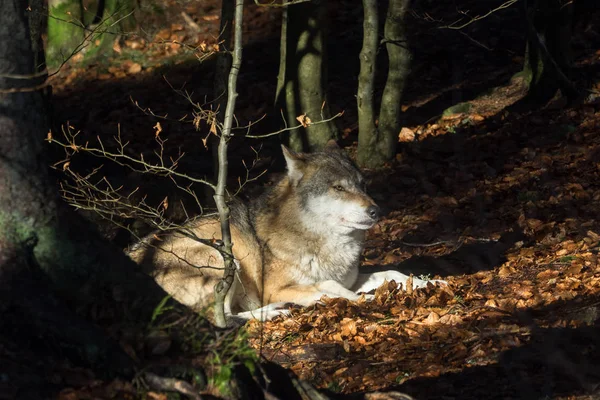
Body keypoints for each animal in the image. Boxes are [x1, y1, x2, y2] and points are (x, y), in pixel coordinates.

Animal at [127, 142, 440, 320]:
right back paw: (272, 312)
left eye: (362, 186)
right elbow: (332, 286)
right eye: (339, 188)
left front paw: (430, 282)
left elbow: (391, 272)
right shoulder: (277, 288)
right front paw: (370, 300)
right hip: (223, 257)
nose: (376, 211)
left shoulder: (352, 277)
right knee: (225, 318)